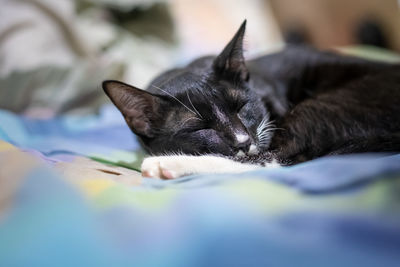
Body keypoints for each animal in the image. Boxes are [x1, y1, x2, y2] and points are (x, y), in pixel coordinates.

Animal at [103, 21, 400, 179]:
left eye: (242, 106)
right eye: (200, 128)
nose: (243, 142)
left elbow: (270, 157)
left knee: (277, 159)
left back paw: (167, 165)